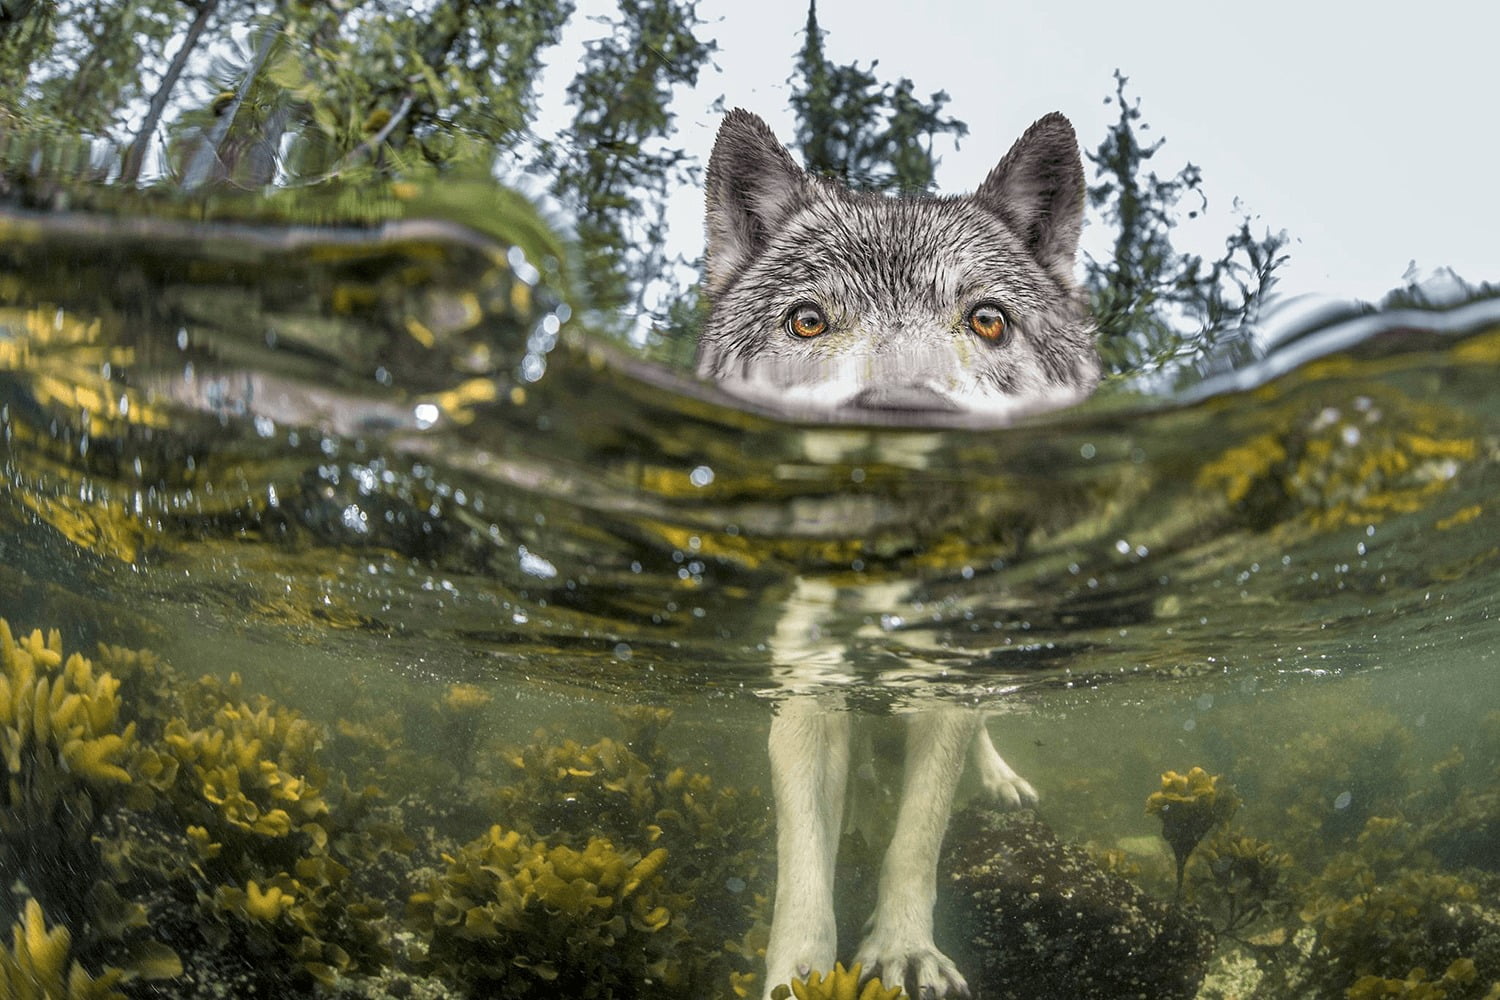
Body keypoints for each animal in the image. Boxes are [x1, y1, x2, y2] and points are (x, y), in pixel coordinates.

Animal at [697, 109, 1099, 999]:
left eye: (987, 319)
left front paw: (905, 952)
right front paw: (800, 974)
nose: (903, 417)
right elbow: (803, 866)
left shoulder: (943, 688)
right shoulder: (806, 692)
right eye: (808, 320)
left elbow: (917, 839)